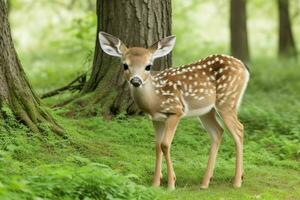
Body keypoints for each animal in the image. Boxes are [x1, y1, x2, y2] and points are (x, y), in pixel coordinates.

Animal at [99, 31, 251, 191]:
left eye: (148, 66)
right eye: (125, 65)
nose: (136, 81)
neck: (154, 99)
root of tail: (244, 67)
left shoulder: (175, 111)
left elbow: (165, 145)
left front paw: (171, 184)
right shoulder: (156, 119)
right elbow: (157, 146)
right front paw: (155, 183)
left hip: (227, 100)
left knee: (239, 129)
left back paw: (237, 181)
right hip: (206, 111)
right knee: (218, 132)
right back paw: (205, 182)